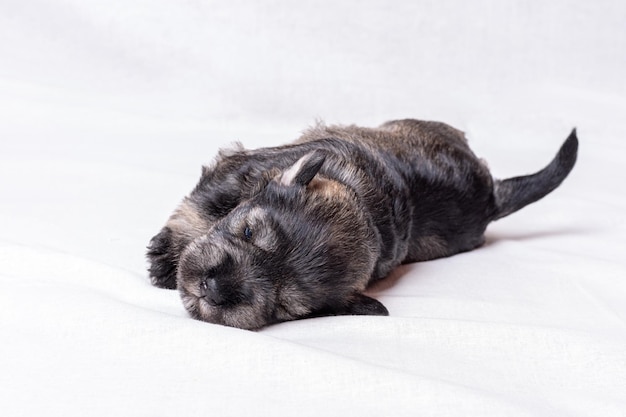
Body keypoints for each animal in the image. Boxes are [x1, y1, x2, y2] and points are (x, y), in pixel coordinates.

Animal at [145, 118, 576, 330]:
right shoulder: (237, 172)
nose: (216, 288)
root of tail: (492, 197)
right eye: (248, 232)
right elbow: (200, 207)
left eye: (285, 307)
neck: (359, 198)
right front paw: (167, 259)